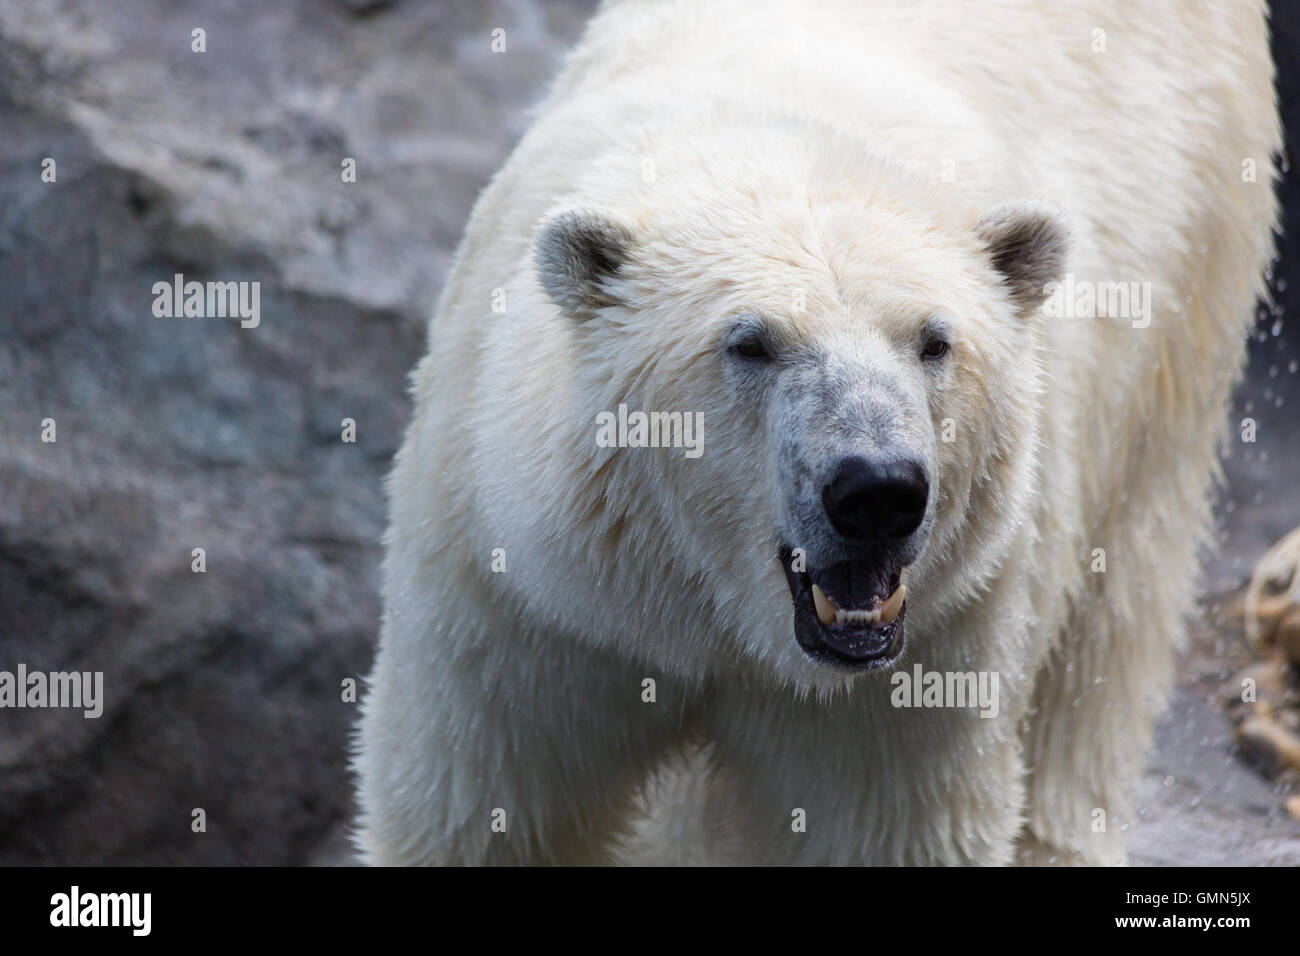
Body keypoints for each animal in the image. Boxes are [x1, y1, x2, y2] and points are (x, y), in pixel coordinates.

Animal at [356, 0, 1279, 868]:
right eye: (750, 343)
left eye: (934, 341)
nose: (877, 492)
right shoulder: (535, 604)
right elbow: (488, 810)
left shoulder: (927, 650)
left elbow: (883, 823)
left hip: (1189, 278)